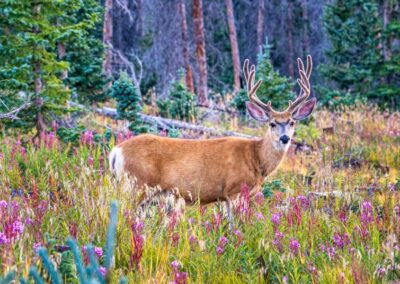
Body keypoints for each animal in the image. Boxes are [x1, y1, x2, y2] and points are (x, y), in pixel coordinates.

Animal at [108, 55, 316, 220]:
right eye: (272, 123)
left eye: (292, 122)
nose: (284, 138)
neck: (255, 158)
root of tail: (116, 151)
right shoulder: (234, 191)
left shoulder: (226, 197)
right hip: (136, 185)